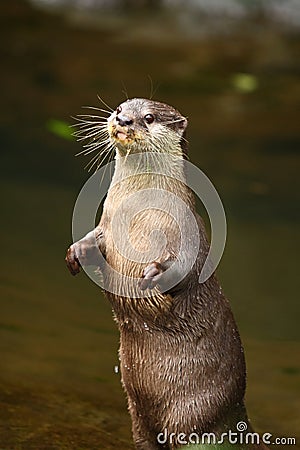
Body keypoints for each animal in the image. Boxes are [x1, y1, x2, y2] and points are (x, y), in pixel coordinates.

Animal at [65, 98, 268, 450]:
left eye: (148, 117)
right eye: (120, 107)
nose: (123, 119)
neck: (138, 215)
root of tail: (236, 415)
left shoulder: (187, 232)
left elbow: (186, 267)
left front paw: (153, 273)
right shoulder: (107, 227)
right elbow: (94, 240)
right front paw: (76, 252)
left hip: (193, 414)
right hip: (137, 414)